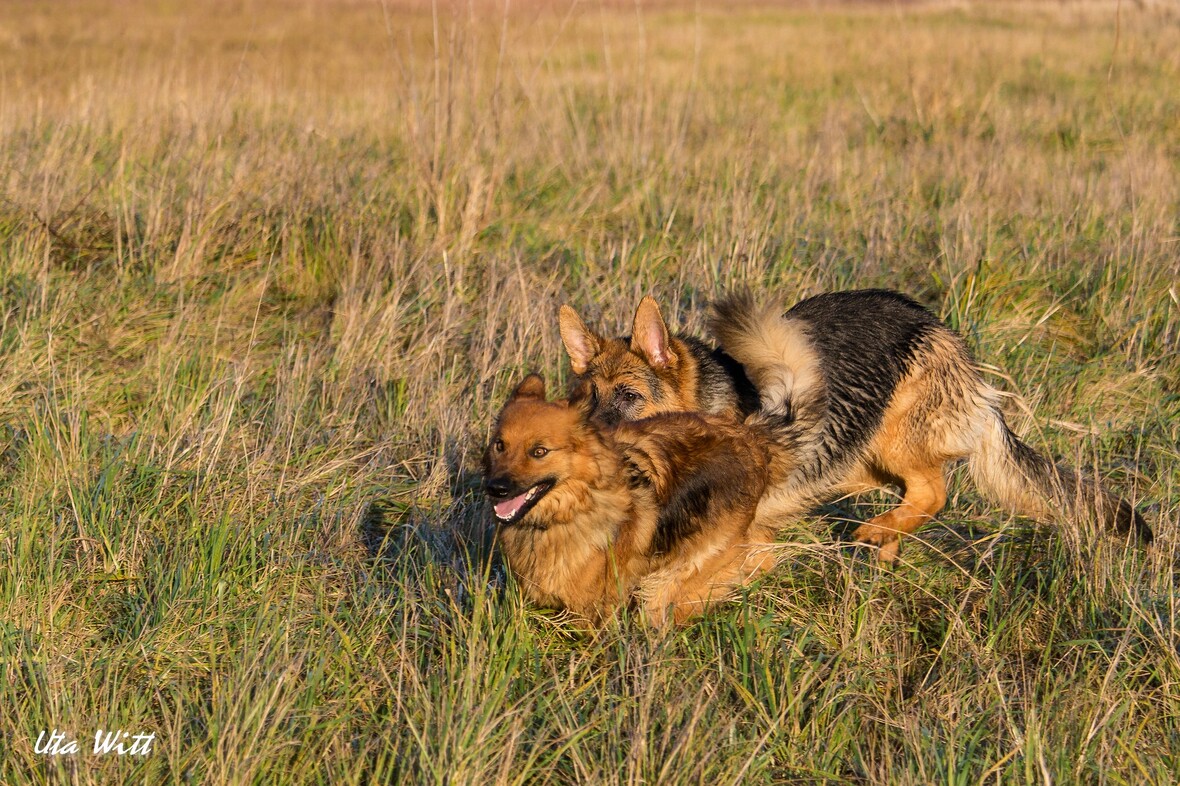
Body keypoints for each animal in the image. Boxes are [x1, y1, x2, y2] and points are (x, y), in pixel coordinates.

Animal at [483, 372, 797, 623]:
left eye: (539, 452)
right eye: (499, 445)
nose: (495, 488)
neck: (573, 509)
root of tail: (751, 438)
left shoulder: (594, 614)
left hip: (676, 577)